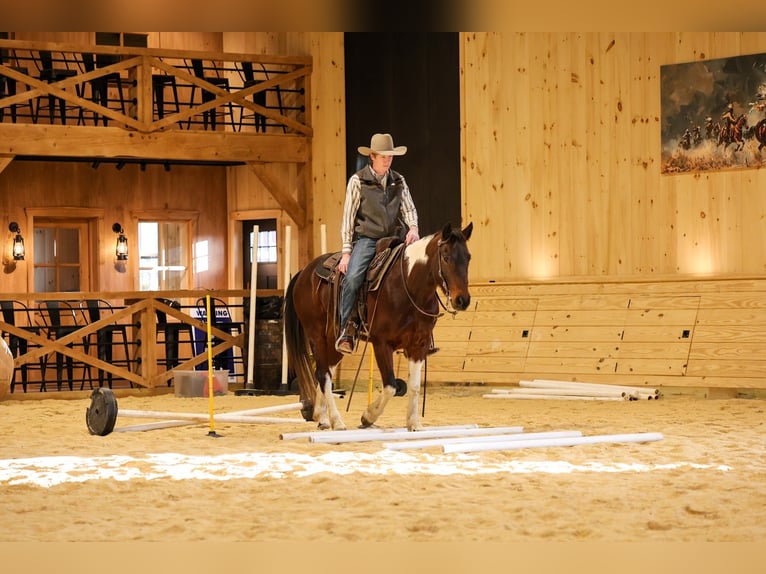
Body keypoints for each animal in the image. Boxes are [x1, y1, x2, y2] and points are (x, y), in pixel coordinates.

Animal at [284, 222, 473, 431]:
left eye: (468, 258)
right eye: (446, 257)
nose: (462, 300)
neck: (409, 286)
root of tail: (304, 272)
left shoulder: (419, 346)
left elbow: (414, 386)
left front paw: (414, 424)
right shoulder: (382, 343)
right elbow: (391, 386)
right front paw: (368, 417)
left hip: (335, 340)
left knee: (326, 371)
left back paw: (322, 417)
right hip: (316, 336)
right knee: (323, 374)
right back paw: (337, 420)